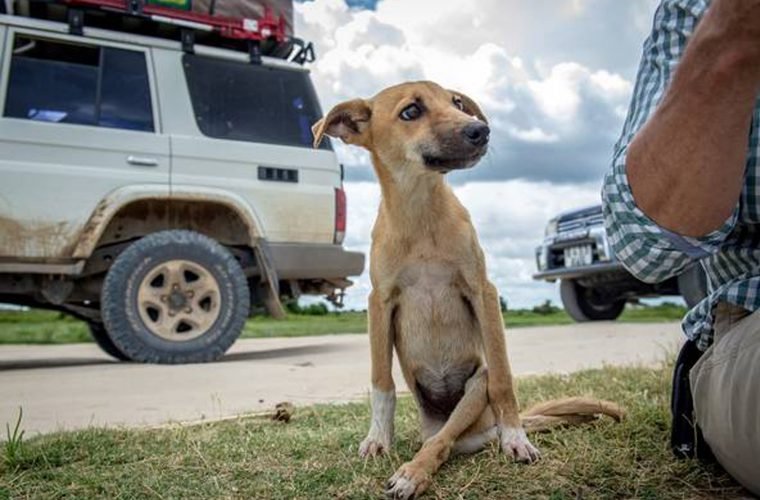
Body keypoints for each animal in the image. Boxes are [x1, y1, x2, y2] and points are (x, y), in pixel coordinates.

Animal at [312, 80, 620, 498]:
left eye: (457, 103)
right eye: (411, 111)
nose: (481, 130)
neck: (421, 214)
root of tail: (480, 431)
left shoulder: (482, 292)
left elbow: (505, 376)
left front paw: (517, 438)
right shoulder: (380, 301)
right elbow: (381, 381)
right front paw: (377, 439)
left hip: (475, 389)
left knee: (444, 442)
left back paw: (418, 470)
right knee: (437, 439)